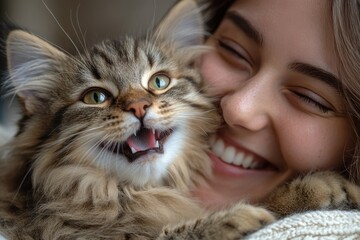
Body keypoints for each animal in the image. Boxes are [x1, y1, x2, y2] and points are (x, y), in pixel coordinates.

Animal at [0, 0, 360, 240]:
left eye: (159, 82)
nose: (139, 107)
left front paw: (319, 187)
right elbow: (177, 231)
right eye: (96, 98)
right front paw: (235, 219)